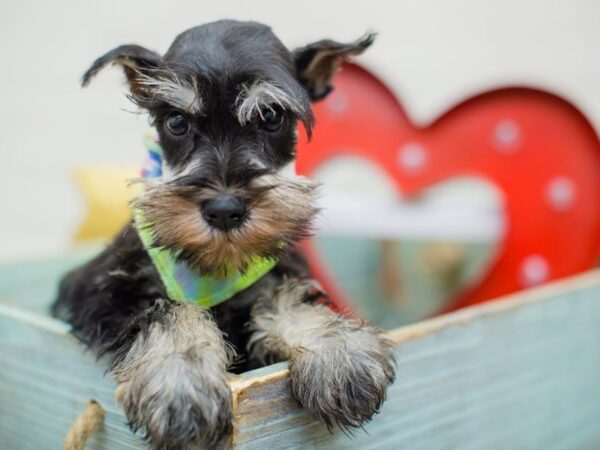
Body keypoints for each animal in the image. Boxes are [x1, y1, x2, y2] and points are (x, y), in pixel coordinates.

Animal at [54, 20, 396, 450]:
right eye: (176, 122)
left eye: (271, 116)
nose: (224, 210)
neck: (216, 269)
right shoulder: (95, 292)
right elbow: (167, 310)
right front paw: (182, 382)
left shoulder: (278, 275)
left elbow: (287, 299)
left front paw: (340, 352)